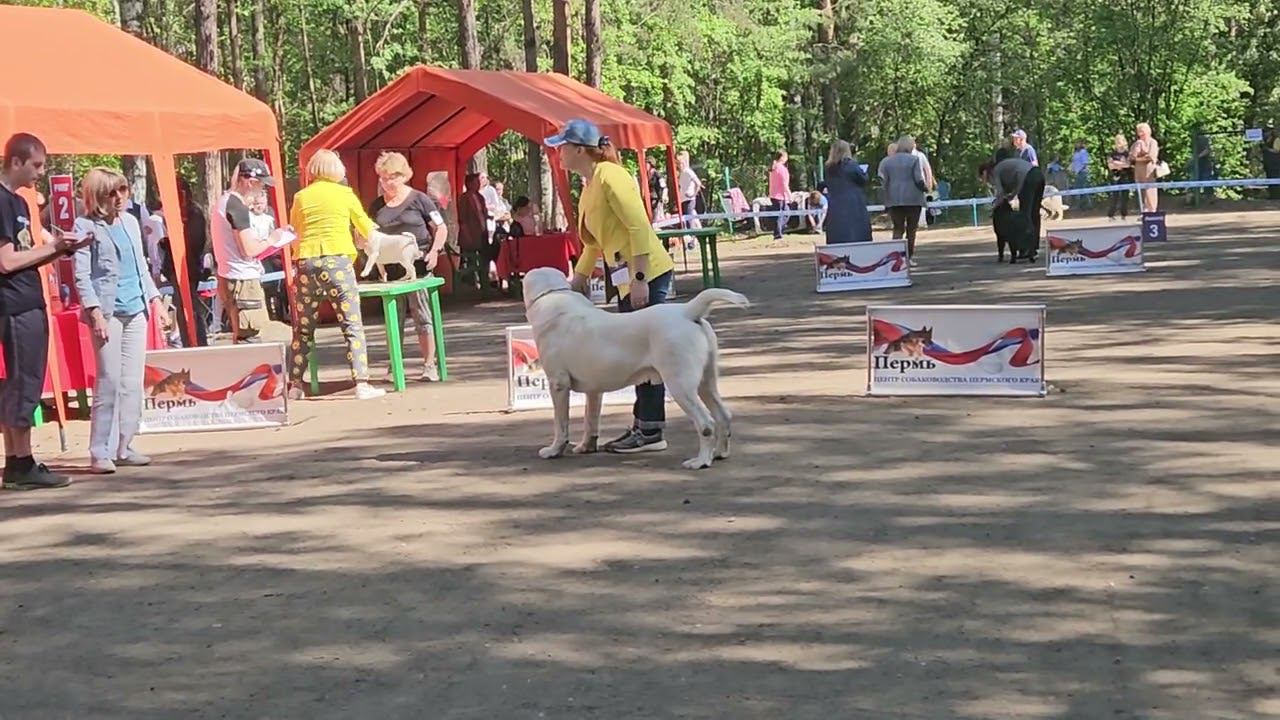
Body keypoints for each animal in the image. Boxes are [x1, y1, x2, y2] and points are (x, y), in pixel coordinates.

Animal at [519, 266, 747, 468]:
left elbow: (561, 423)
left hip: (680, 385)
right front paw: (586, 446)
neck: (554, 295)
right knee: (723, 415)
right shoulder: (594, 391)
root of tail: (687, 311)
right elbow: (590, 420)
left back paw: (700, 462)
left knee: (706, 424)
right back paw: (719, 453)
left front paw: (554, 450)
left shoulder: (558, 385)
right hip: (706, 382)